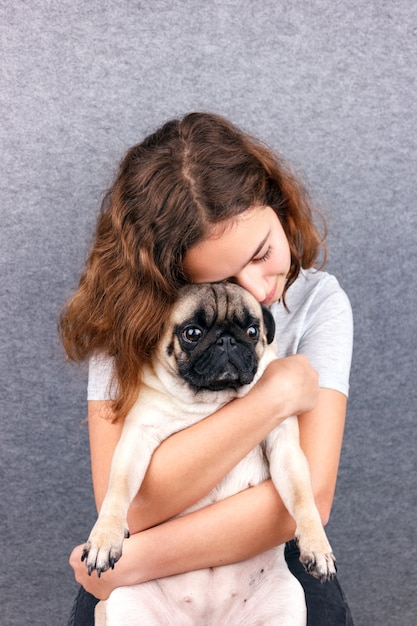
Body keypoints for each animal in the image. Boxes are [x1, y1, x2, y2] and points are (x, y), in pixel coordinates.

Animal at [83, 282, 336, 624]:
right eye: (192, 333)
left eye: (253, 331)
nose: (227, 339)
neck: (211, 399)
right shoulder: (137, 438)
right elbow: (118, 489)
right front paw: (104, 537)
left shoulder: (284, 446)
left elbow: (302, 497)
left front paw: (317, 546)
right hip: (126, 603)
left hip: (288, 603)